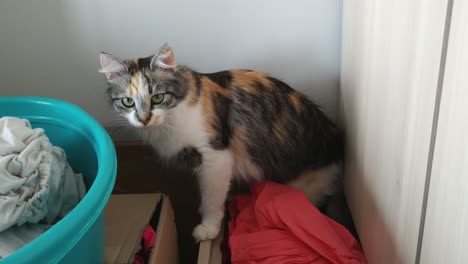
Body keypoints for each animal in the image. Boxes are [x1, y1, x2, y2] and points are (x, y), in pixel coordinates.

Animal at [99, 42, 344, 241]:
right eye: (128, 102)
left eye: (157, 98)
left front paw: (208, 229)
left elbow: (211, 198)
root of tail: (336, 139)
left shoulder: (216, 158)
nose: (144, 119)